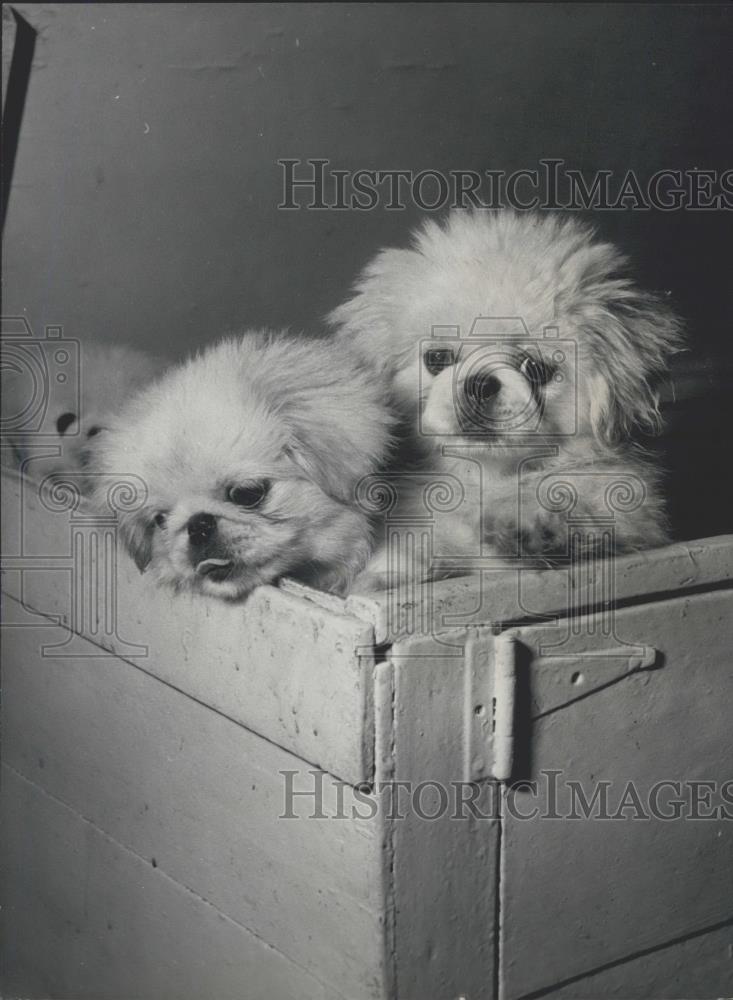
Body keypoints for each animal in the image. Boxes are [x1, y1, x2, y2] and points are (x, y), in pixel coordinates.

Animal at [328, 211, 684, 584]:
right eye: (437, 359)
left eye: (536, 369)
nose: (480, 384)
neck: (484, 478)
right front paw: (398, 567)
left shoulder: (632, 509)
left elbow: (573, 497)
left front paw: (529, 524)